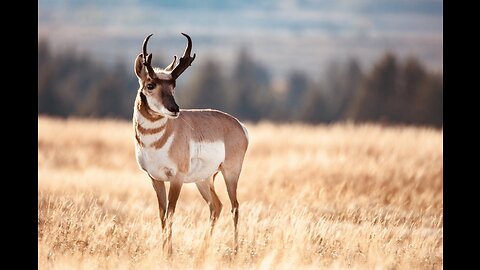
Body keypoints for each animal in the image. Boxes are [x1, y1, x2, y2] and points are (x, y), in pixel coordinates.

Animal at [133, 32, 249, 254]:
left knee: (235, 206)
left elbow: (170, 213)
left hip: (230, 172)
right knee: (216, 206)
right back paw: (203, 250)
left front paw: (169, 253)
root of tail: (238, 124)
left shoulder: (176, 178)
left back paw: (236, 251)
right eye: (150, 85)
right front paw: (164, 251)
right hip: (203, 179)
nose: (175, 109)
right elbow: (162, 215)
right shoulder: (155, 179)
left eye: (173, 85)